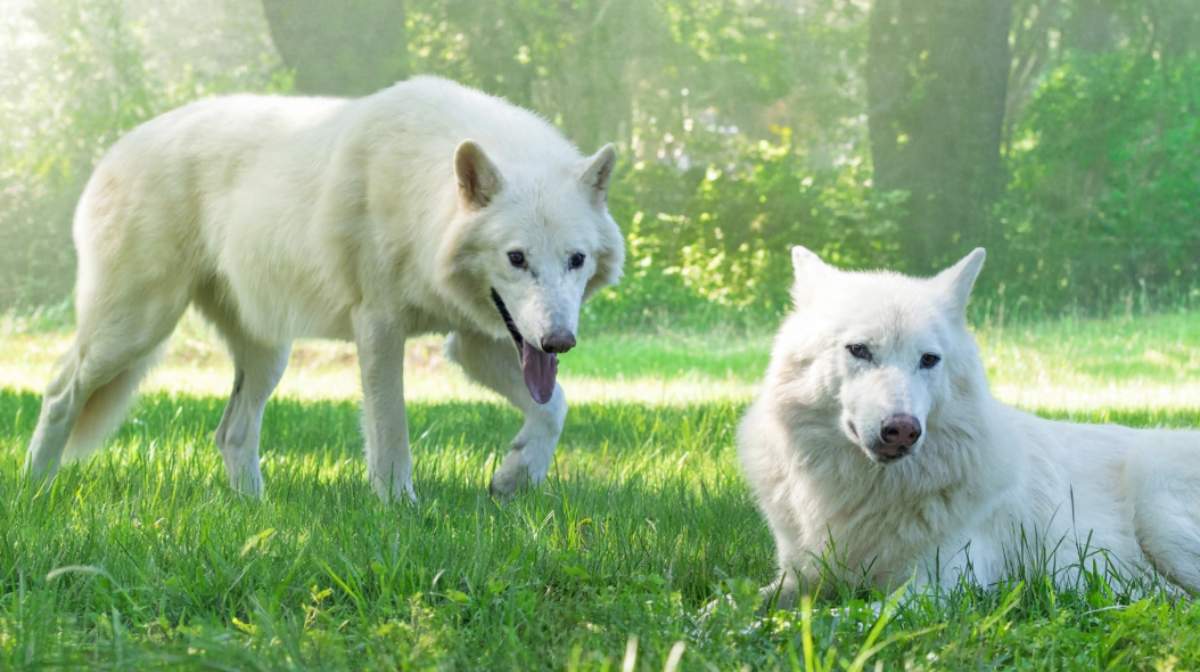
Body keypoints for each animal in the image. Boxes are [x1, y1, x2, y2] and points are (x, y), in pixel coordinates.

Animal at [24, 76, 624, 501]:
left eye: (575, 260)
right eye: (516, 258)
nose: (560, 341)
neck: (419, 202)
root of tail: (116, 149)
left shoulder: (478, 343)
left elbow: (554, 407)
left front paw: (516, 476)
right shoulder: (379, 327)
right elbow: (391, 433)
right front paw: (400, 509)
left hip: (267, 356)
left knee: (231, 434)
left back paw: (257, 512)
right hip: (136, 330)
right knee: (59, 394)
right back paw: (35, 489)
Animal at [738, 247, 1200, 605]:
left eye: (928, 359)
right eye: (859, 350)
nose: (902, 429)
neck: (867, 493)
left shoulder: (936, 590)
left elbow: (845, 616)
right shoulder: (798, 577)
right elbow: (738, 606)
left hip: (1157, 505)